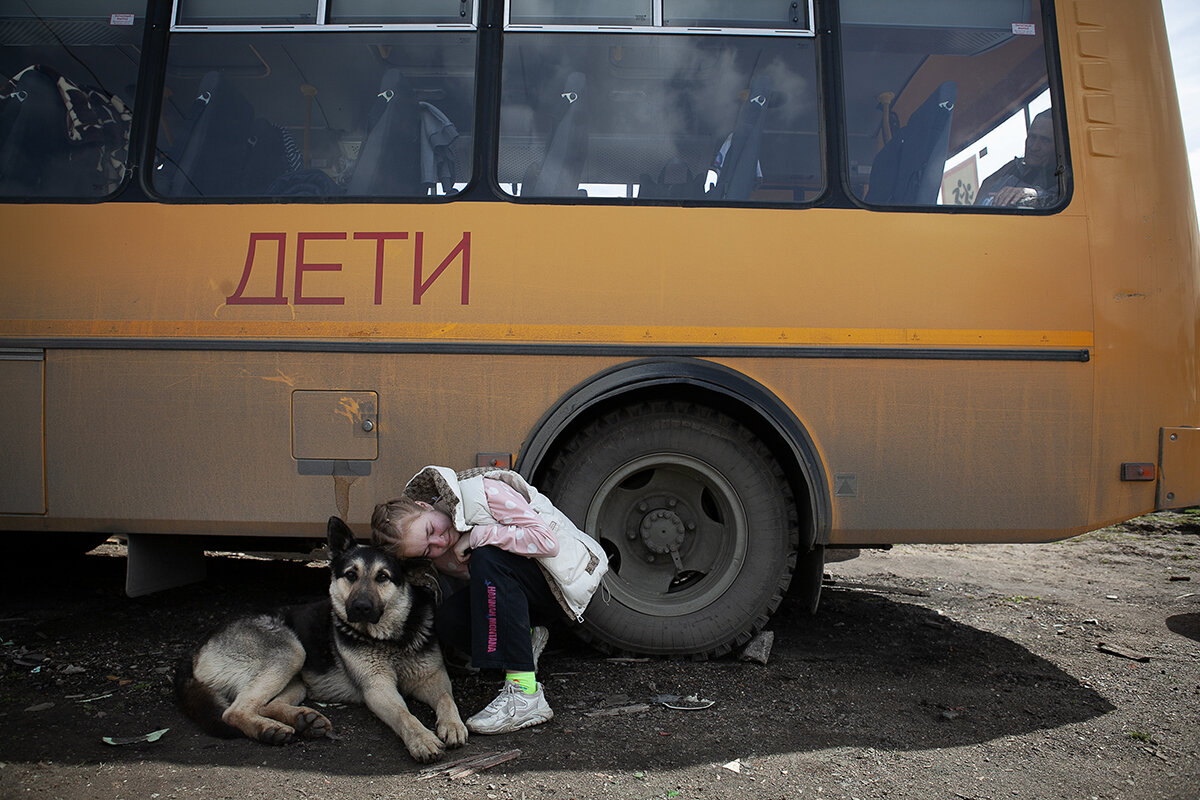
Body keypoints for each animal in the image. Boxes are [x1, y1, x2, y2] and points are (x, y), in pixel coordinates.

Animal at [175, 515, 465, 762]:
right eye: (351, 575)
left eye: (382, 577)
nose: (360, 607)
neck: (390, 640)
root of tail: (195, 651)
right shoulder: (378, 688)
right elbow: (405, 715)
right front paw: (422, 739)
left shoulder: (433, 677)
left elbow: (446, 699)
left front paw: (452, 724)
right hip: (290, 652)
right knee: (234, 711)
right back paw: (269, 730)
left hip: (295, 679)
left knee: (265, 705)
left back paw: (302, 720)